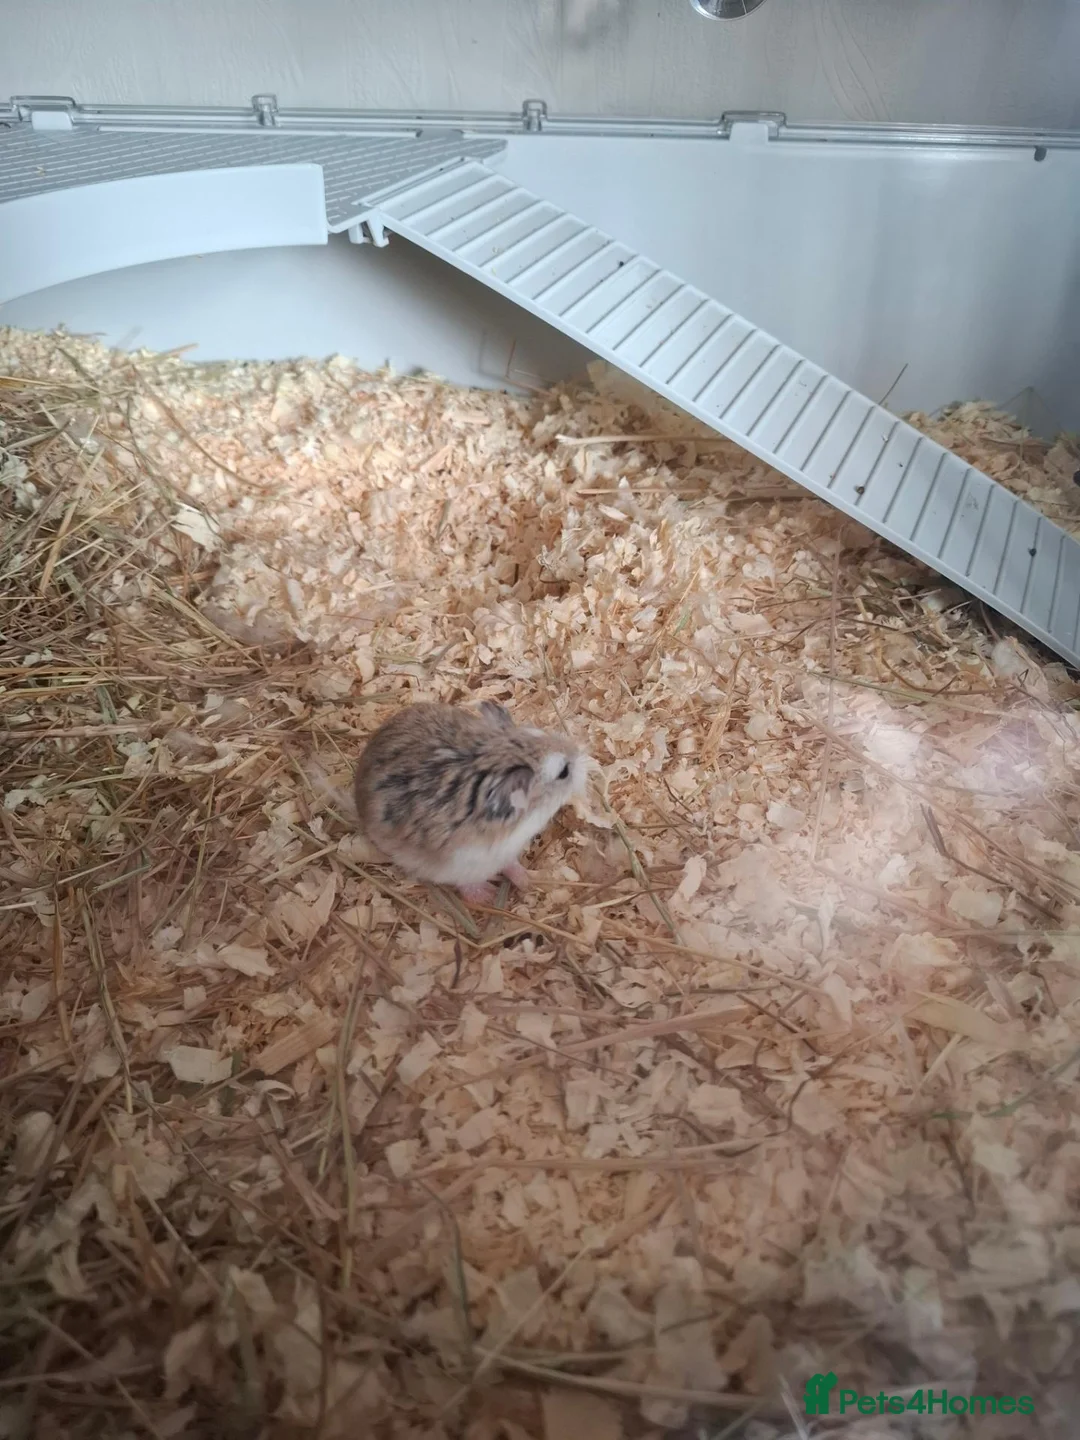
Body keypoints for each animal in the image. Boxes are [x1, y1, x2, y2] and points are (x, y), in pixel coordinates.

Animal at [354, 701, 586, 905]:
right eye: (564, 771)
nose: (580, 752)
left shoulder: (507, 852)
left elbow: (511, 864)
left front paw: (527, 881)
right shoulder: (458, 865)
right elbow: (467, 884)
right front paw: (490, 895)